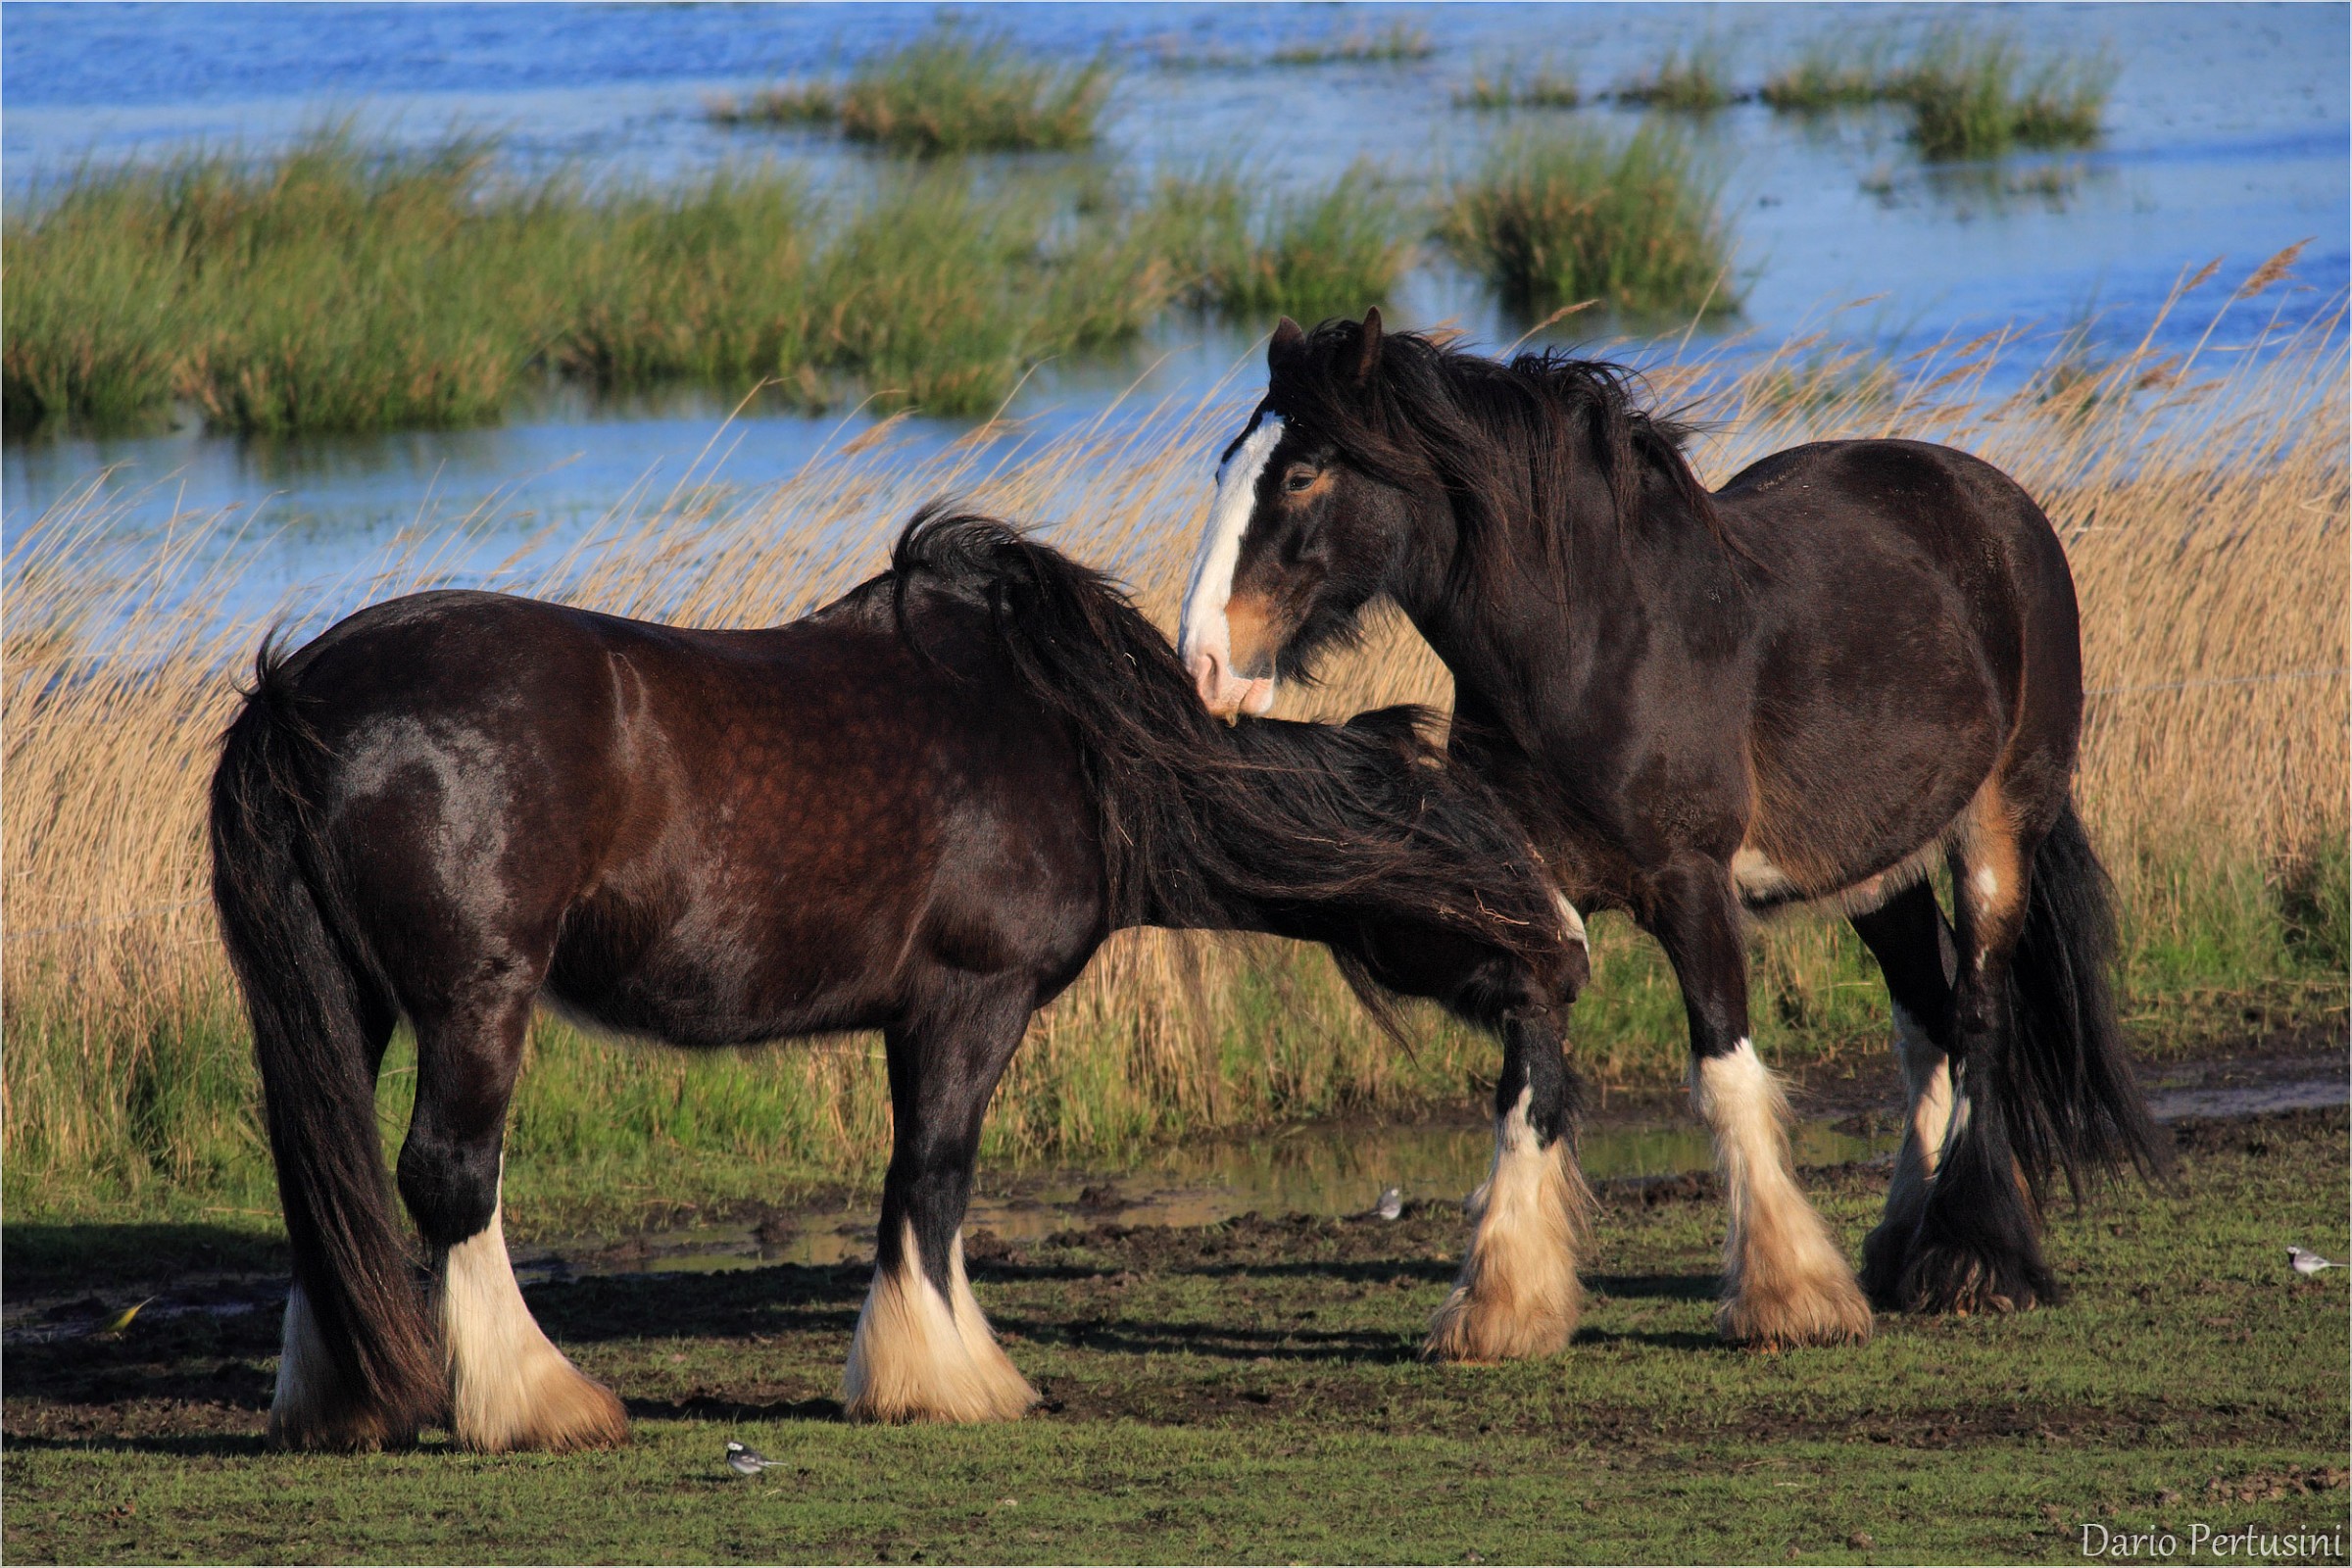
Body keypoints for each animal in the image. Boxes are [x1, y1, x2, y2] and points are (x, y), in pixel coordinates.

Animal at [209, 507, 1591, 1453]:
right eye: (1482, 833)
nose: (1573, 956)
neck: (1078, 740)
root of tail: (303, 695)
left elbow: (930, 1187)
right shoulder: (971, 1001)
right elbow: (931, 1179)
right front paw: (947, 1377)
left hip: (352, 998)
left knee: (328, 1180)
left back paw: (344, 1398)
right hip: (476, 1002)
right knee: (452, 1179)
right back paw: (540, 1401)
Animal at [1175, 310, 2166, 1352]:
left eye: (1300, 475)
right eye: (1227, 466)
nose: (1205, 665)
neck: (1590, 647)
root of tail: (1998, 503)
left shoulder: (1692, 885)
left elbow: (1725, 1071)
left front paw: (1789, 1295)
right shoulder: (1540, 893)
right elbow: (1527, 1075)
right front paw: (1502, 1303)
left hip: (1999, 827)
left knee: (1980, 1013)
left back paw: (1973, 1256)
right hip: (1874, 869)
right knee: (1927, 1019)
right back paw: (1905, 1244)